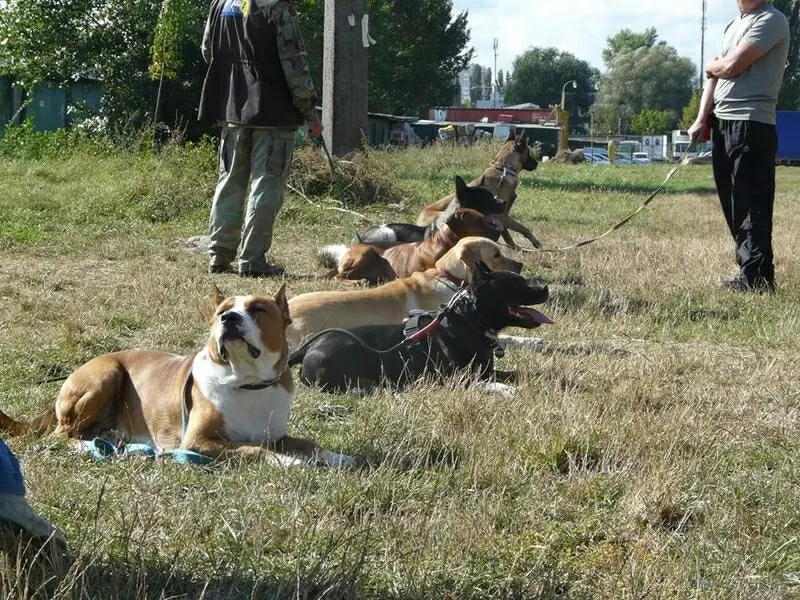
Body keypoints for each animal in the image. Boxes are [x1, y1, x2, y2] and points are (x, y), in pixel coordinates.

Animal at [0, 286, 354, 468]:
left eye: (257, 309)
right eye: (221, 310)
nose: (228, 317)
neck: (247, 382)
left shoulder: (275, 433)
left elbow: (307, 442)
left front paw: (337, 456)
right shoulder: (199, 441)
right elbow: (256, 450)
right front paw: (289, 462)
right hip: (106, 375)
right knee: (60, 436)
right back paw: (89, 445)